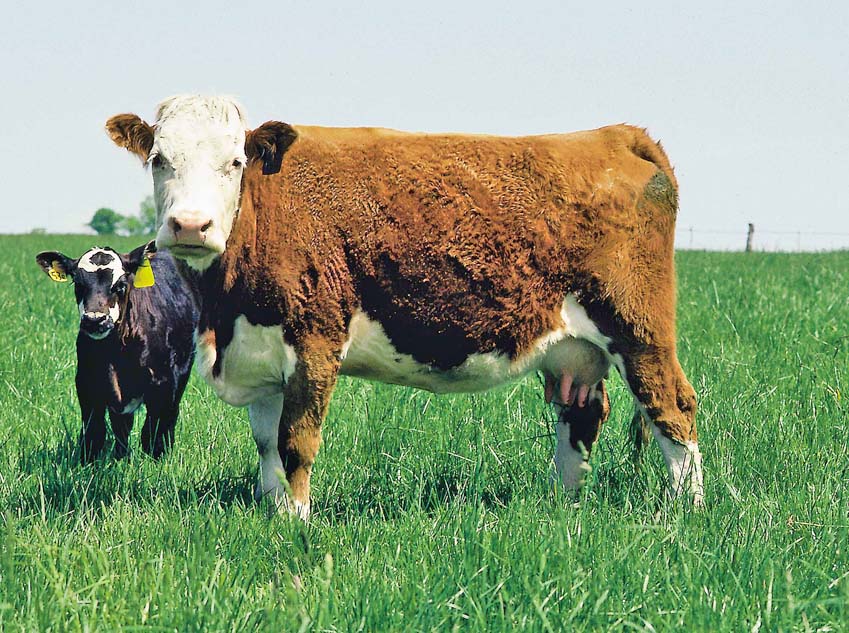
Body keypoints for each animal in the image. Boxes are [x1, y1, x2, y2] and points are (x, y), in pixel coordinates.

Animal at [35, 243, 198, 462]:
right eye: (78, 284)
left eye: (120, 285)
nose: (95, 320)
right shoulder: (87, 385)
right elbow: (94, 433)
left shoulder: (163, 383)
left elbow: (153, 433)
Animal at [105, 95, 703, 518]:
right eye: (159, 159)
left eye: (235, 162)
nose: (190, 225)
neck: (223, 312)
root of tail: (616, 135)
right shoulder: (261, 350)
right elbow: (267, 446)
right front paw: (273, 515)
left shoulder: (315, 341)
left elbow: (297, 442)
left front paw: (297, 524)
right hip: (572, 346)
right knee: (580, 414)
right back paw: (567, 505)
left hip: (638, 329)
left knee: (674, 408)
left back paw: (686, 512)